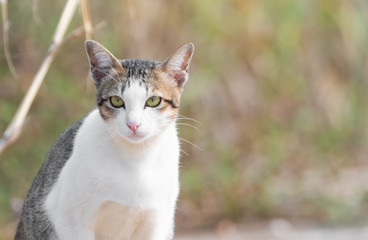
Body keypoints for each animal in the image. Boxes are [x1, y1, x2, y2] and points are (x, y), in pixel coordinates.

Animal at [15, 40, 193, 239]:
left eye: (154, 101)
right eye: (116, 101)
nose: (133, 124)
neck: (137, 159)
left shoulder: (157, 222)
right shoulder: (71, 221)